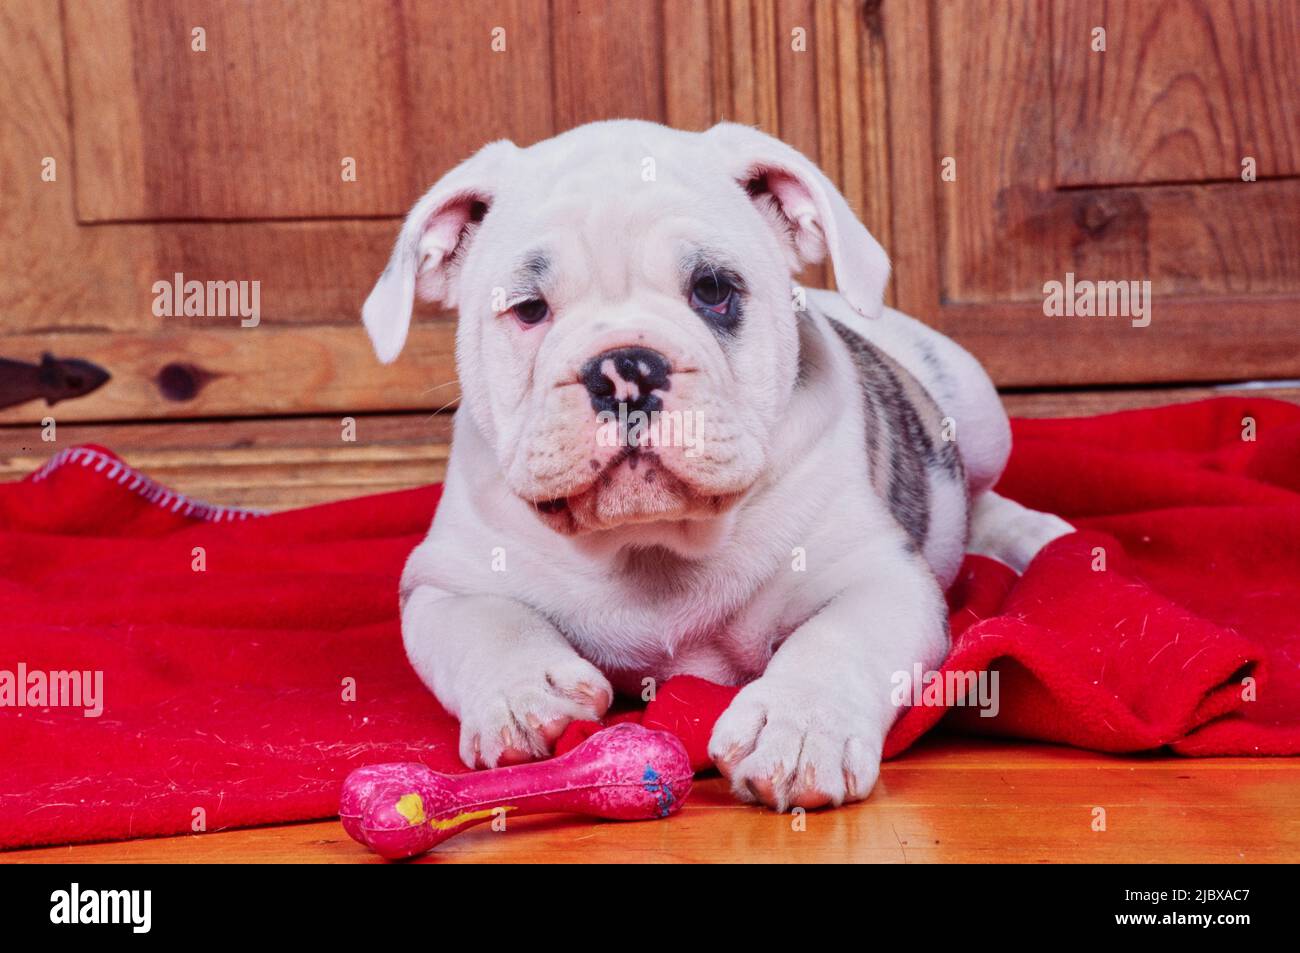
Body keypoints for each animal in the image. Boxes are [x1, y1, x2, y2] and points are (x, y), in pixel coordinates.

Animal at [361, 118, 1071, 811]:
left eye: (713, 291)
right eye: (529, 309)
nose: (624, 370)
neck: (650, 544)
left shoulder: (882, 575)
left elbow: (837, 637)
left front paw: (798, 724)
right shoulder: (442, 579)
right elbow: (486, 622)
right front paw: (524, 690)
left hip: (977, 412)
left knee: (983, 494)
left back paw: (1038, 540)